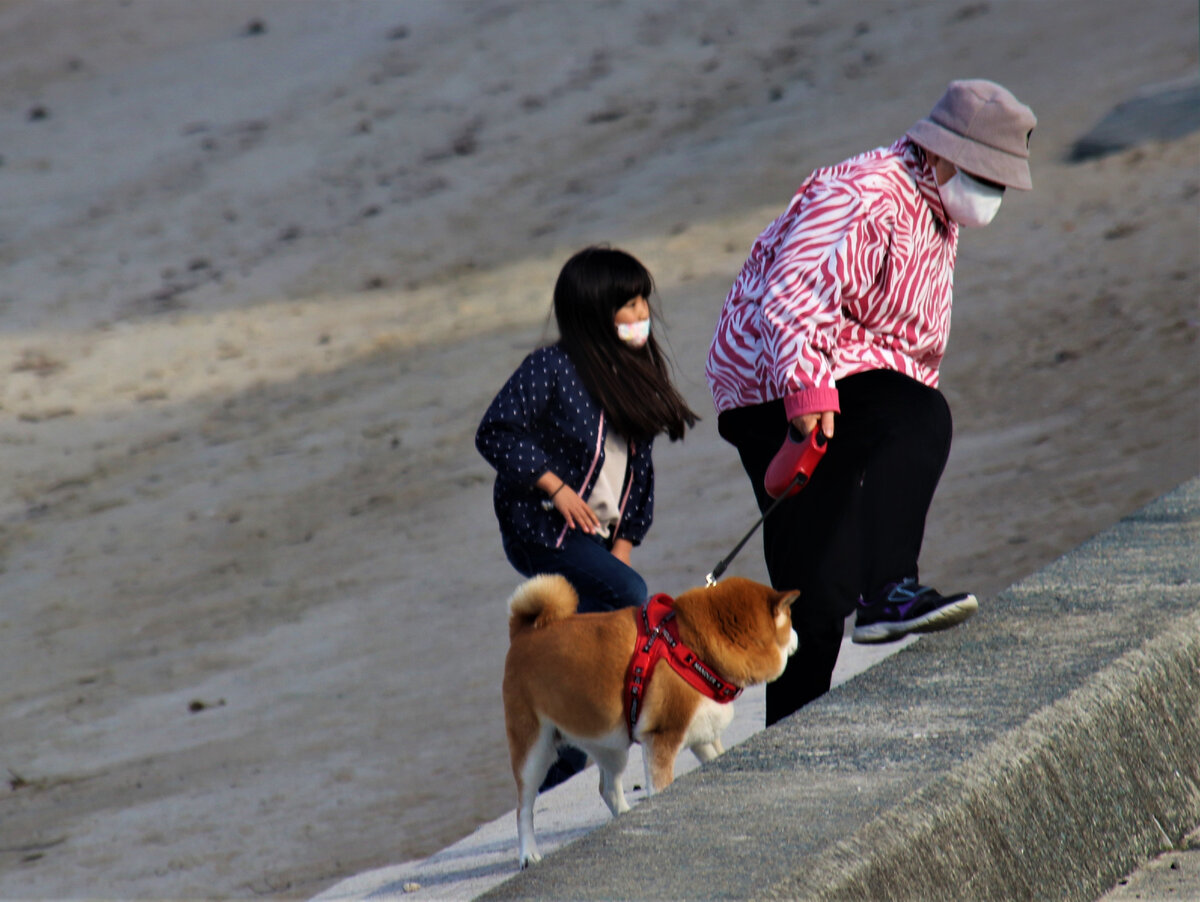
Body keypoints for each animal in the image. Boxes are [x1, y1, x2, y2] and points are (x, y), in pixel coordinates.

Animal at [501, 573, 801, 868]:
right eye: (790, 621)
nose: (798, 637)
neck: (691, 649)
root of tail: (523, 632)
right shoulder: (662, 739)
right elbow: (661, 787)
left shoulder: (701, 735)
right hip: (534, 751)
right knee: (523, 809)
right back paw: (528, 853)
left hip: (609, 746)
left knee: (608, 789)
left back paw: (625, 817)